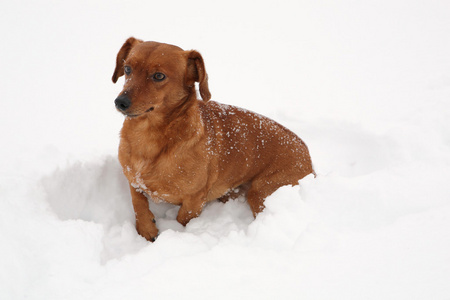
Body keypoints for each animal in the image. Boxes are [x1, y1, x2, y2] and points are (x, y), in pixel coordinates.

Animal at [112, 37, 314, 241]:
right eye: (127, 69)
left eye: (159, 76)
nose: (120, 102)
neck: (148, 136)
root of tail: (307, 153)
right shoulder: (133, 180)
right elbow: (138, 204)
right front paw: (146, 230)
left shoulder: (194, 200)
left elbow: (182, 220)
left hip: (262, 191)